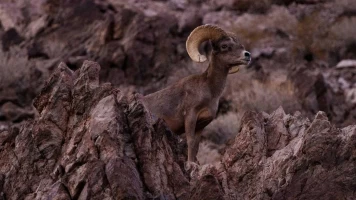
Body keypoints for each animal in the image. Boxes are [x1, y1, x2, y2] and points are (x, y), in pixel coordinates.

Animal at [142, 24, 250, 170]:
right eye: (224, 46)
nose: (247, 55)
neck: (210, 91)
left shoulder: (202, 124)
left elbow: (196, 145)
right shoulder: (190, 117)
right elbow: (190, 141)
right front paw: (191, 164)